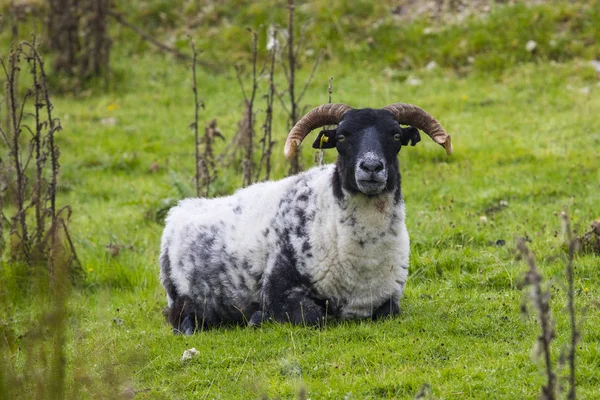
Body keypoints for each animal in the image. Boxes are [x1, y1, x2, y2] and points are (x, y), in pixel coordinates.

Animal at [159, 101, 450, 332]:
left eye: (396, 135)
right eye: (341, 137)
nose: (371, 167)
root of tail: (181, 208)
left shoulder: (388, 299)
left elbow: (388, 312)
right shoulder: (278, 293)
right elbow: (315, 317)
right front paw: (256, 318)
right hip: (181, 298)